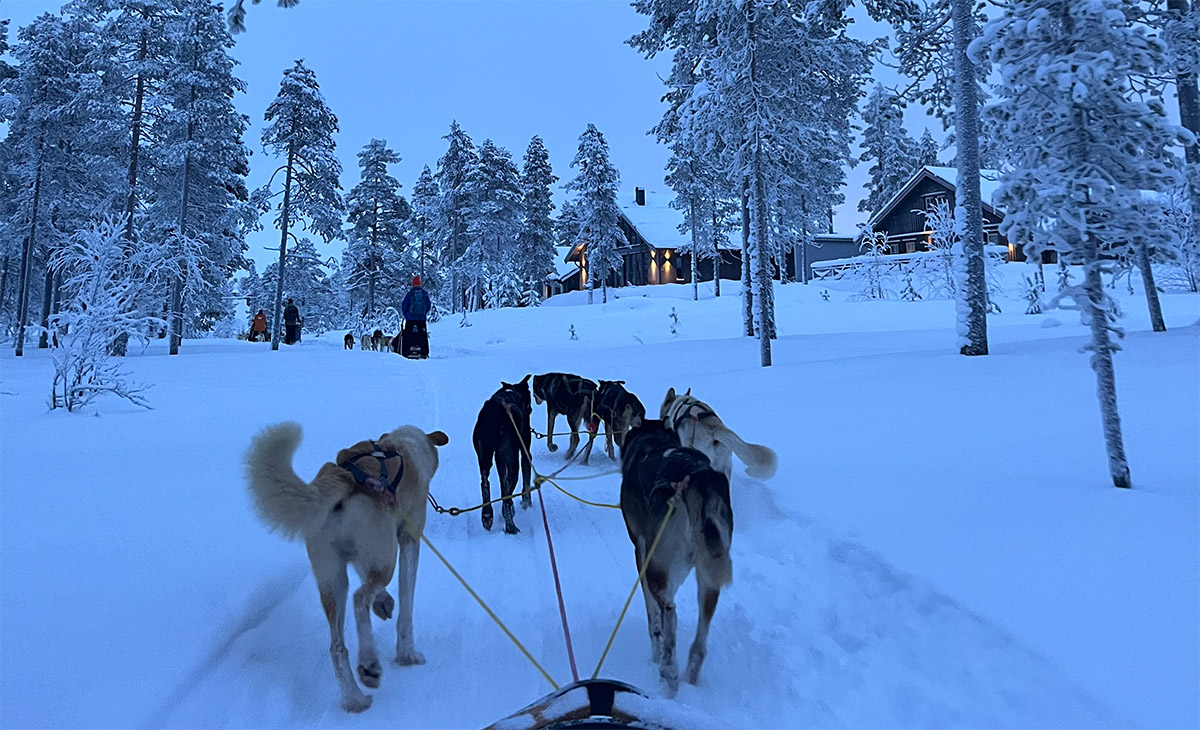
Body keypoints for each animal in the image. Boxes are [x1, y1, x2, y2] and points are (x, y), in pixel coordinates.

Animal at [244, 422, 451, 710]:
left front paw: (383, 603)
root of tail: (344, 478)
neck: (402, 447)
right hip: (385, 559)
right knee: (359, 598)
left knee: (337, 646)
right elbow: (406, 606)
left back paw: (354, 698)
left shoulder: (362, 559)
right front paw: (408, 654)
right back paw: (369, 664)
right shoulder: (409, 540)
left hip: (332, 579)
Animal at [472, 374, 535, 533]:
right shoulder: (524, 452)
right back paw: (510, 523)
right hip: (510, 457)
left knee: (485, 483)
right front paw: (525, 503)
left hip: (485, 455)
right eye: (529, 394)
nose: (530, 408)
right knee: (507, 488)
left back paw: (487, 515)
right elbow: (524, 481)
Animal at [619, 420, 729, 691]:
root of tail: (695, 479)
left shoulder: (642, 553)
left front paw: (655, 654)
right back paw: (690, 676)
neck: (654, 442)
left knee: (670, 612)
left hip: (656, 568)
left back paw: (668, 670)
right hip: (710, 579)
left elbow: (653, 619)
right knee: (699, 641)